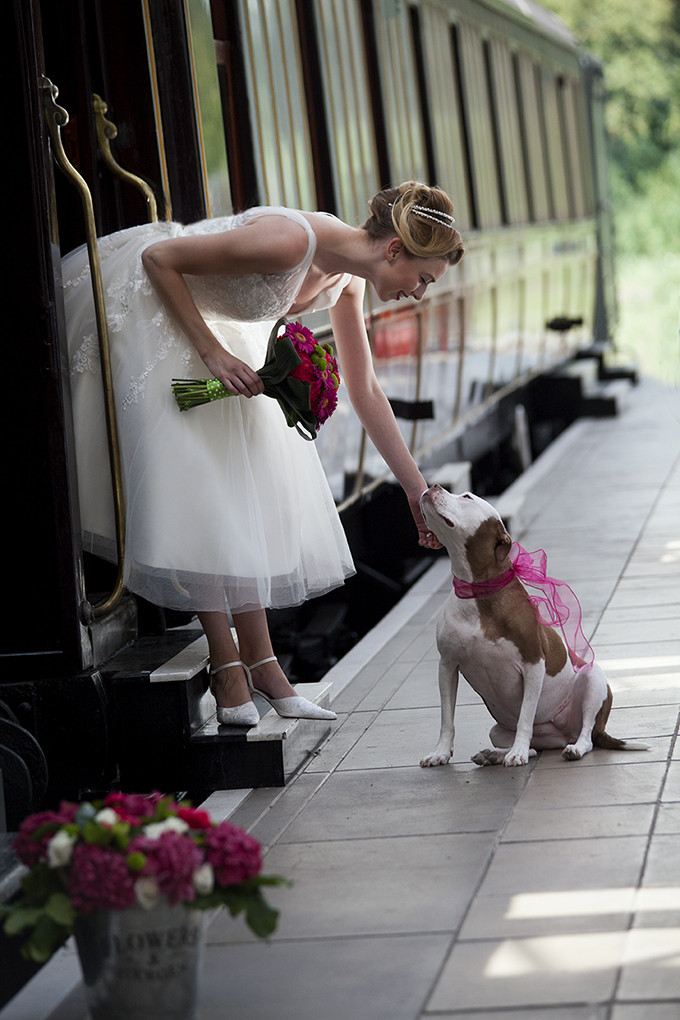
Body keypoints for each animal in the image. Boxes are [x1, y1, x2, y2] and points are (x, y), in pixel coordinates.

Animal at [417, 485, 648, 767]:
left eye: (467, 497)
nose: (433, 486)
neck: (477, 591)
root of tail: (564, 732)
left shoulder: (533, 664)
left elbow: (526, 715)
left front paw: (517, 753)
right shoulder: (447, 665)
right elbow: (446, 718)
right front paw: (440, 752)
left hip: (592, 681)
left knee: (586, 735)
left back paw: (571, 748)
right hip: (500, 731)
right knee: (534, 747)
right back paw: (495, 754)